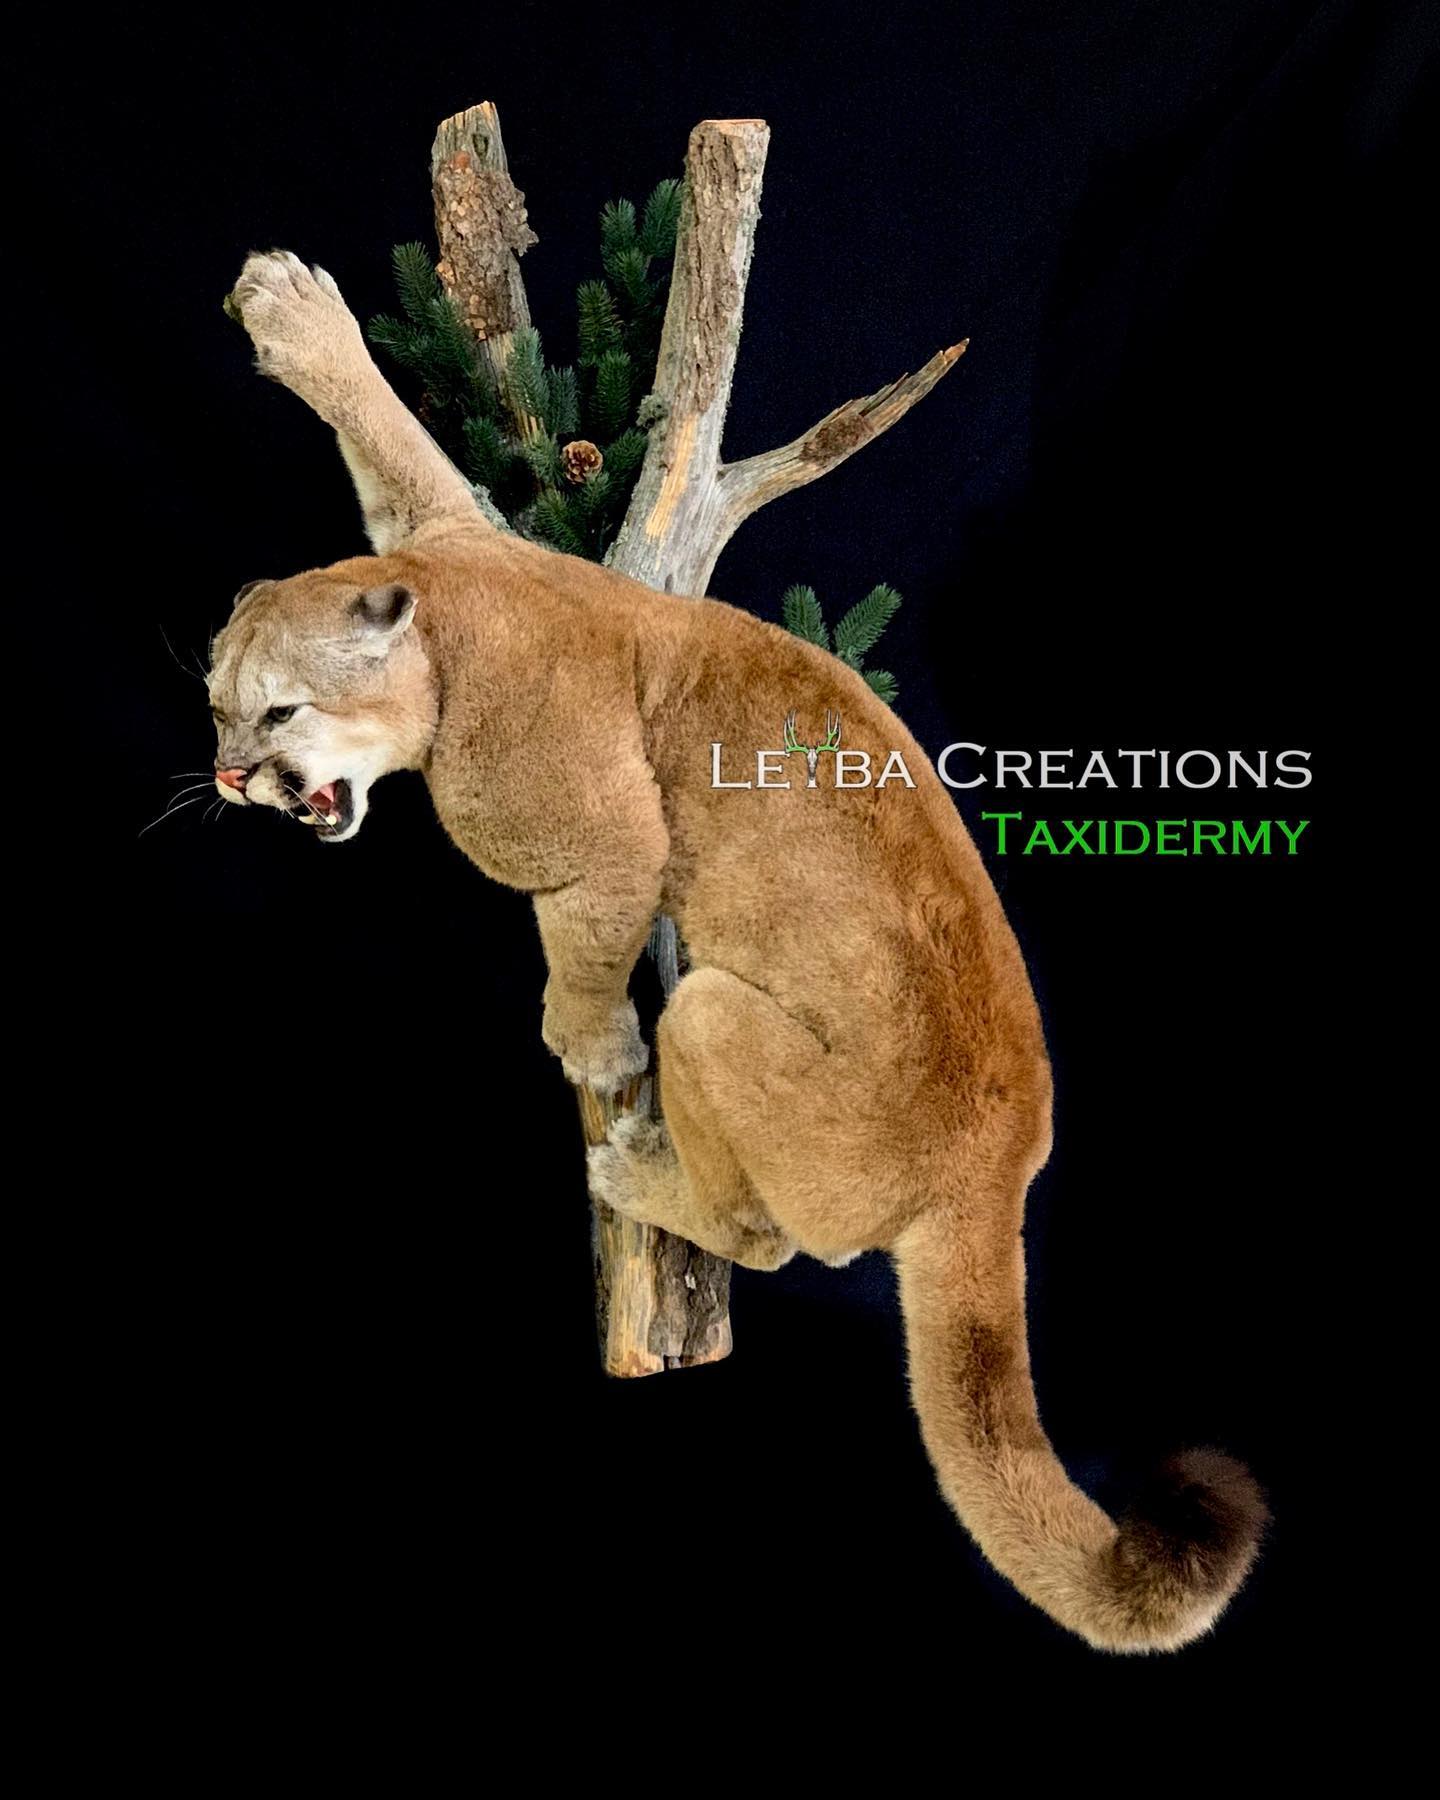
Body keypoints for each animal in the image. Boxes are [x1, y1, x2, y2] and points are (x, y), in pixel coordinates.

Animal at [210, 250, 1270, 1652]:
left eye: (280, 712)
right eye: (215, 708)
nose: (232, 779)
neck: (454, 626)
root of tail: (995, 1182)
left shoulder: (604, 833)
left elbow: (586, 942)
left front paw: (586, 1042)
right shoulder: (443, 531)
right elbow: (397, 446)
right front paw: (293, 312)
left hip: (713, 1013)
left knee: (762, 1236)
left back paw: (637, 1174)